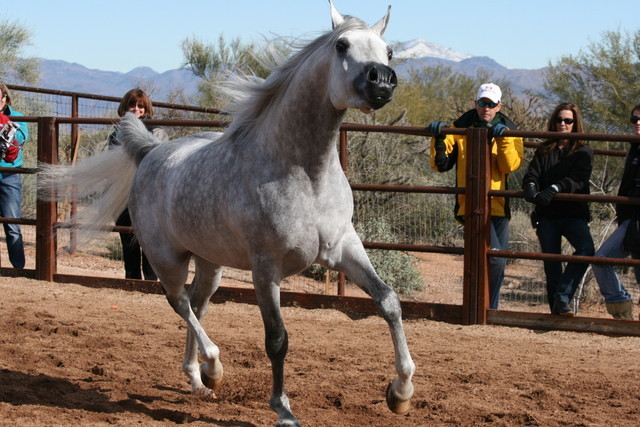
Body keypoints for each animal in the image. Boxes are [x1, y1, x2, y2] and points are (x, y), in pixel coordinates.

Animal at [40, 1, 415, 425]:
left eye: (388, 52)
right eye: (342, 45)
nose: (382, 81)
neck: (305, 173)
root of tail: (151, 152)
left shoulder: (344, 248)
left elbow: (389, 301)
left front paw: (400, 393)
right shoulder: (265, 268)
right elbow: (277, 338)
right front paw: (283, 409)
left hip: (210, 262)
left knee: (197, 303)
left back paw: (197, 378)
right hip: (167, 258)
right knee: (180, 303)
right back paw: (212, 366)